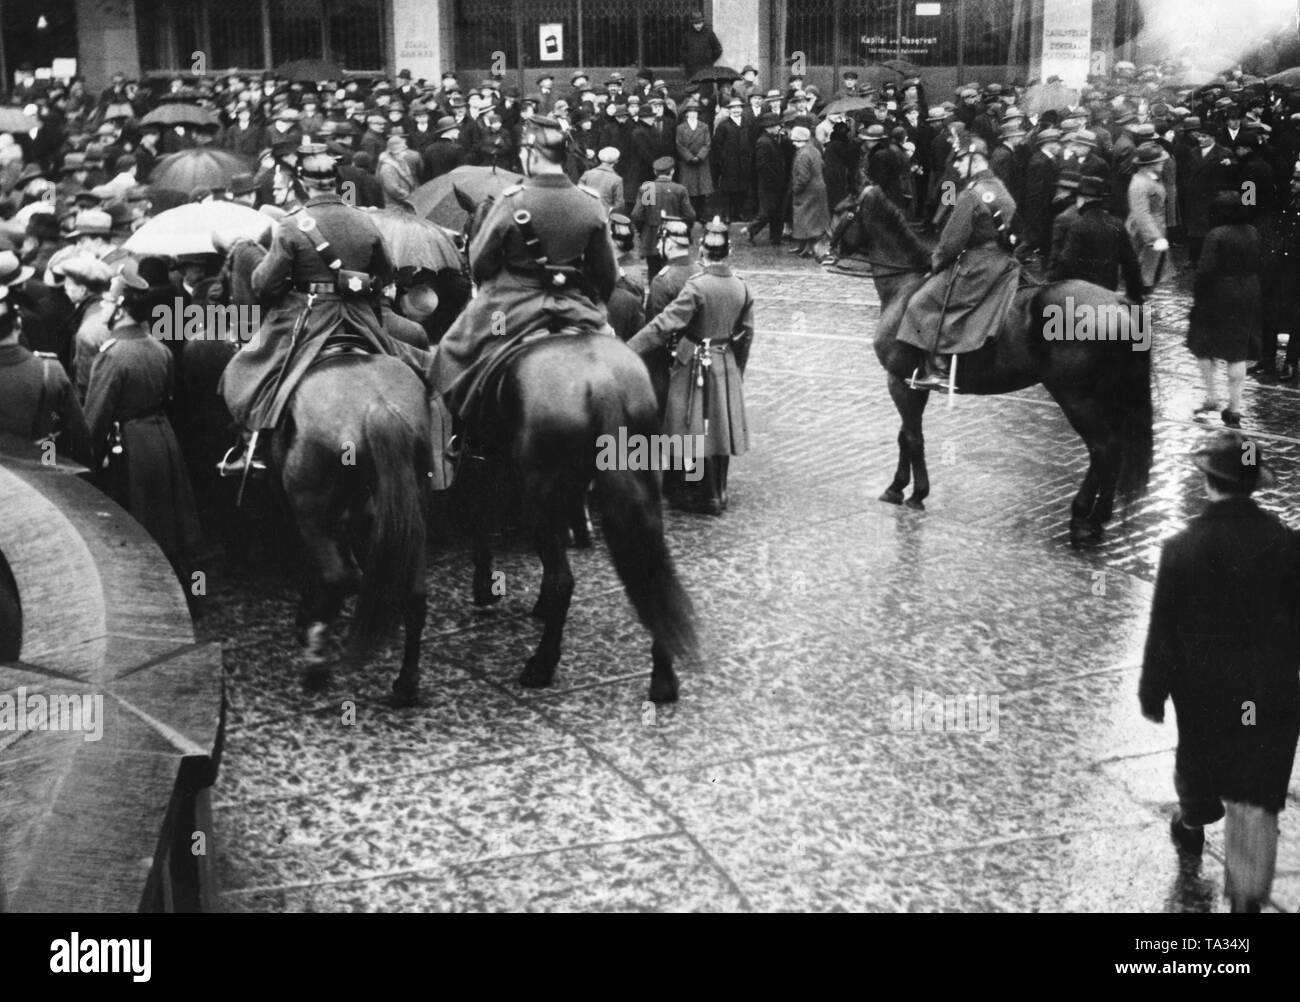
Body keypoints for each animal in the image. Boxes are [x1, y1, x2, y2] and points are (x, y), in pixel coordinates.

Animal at [460, 193, 702, 706]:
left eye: (473, 230)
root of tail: (602, 382)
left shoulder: (482, 464)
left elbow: (482, 523)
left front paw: (486, 590)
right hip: (641, 484)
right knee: (651, 568)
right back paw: (663, 677)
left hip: (538, 492)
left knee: (565, 577)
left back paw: (541, 663)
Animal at [826, 188, 1154, 548]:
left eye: (841, 212)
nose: (819, 250)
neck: (906, 288)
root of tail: (1120, 303)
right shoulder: (909, 384)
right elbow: (905, 435)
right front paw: (904, 488)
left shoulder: (899, 381)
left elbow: (911, 438)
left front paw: (909, 492)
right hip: (1106, 398)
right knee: (1113, 451)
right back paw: (1097, 519)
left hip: (1076, 399)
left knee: (1103, 449)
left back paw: (1083, 517)